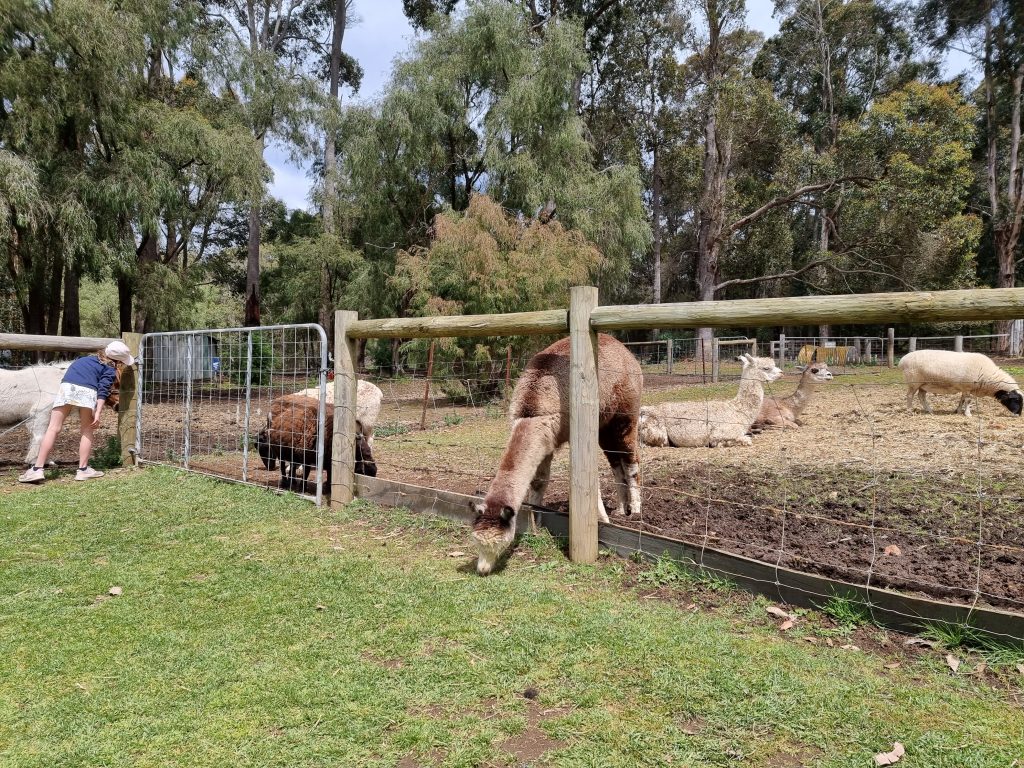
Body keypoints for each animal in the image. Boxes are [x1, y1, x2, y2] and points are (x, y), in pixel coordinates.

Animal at [471, 335, 638, 577]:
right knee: (616, 461)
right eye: (476, 541)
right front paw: (535, 518)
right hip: (604, 426)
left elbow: (589, 480)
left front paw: (602, 520)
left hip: (626, 412)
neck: (532, 411)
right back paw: (620, 509)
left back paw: (635, 510)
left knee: (631, 458)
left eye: (498, 544)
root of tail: (622, 347)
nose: (482, 570)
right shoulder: (545, 442)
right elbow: (539, 482)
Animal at [638, 356, 782, 448]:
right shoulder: (722, 432)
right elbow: (745, 440)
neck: (737, 410)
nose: (781, 372)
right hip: (658, 433)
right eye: (766, 368)